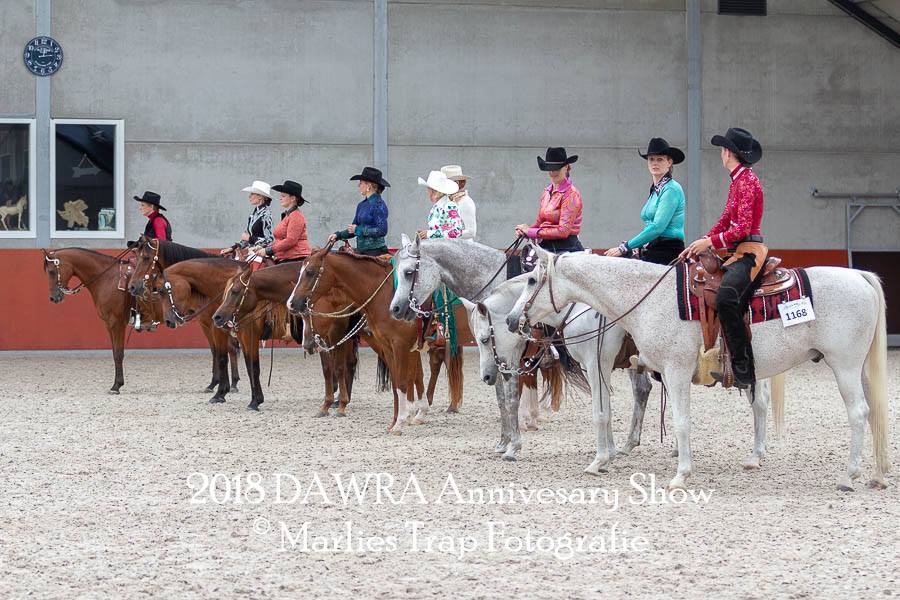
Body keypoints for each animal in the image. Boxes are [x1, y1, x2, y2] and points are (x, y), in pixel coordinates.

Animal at [211, 262, 362, 418]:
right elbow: (327, 368)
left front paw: (254, 401)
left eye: (235, 291)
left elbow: (337, 367)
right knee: (351, 363)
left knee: (348, 364)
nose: (217, 317)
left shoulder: (335, 332)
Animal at [460, 278, 784, 476]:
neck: (578, 308)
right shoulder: (599, 367)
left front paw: (513, 447)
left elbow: (598, 411)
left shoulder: (595, 364)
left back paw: (756, 455)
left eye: (486, 337)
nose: (488, 375)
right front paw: (612, 452)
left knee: (759, 404)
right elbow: (606, 407)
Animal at [510, 244, 888, 492]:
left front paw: (679, 475)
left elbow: (677, 421)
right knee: (871, 412)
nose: (514, 320)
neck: (650, 298)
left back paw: (849, 476)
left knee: (857, 412)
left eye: (531, 280)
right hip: (857, 368)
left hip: (844, 365)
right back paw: (876, 474)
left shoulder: (667, 370)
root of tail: (860, 276)